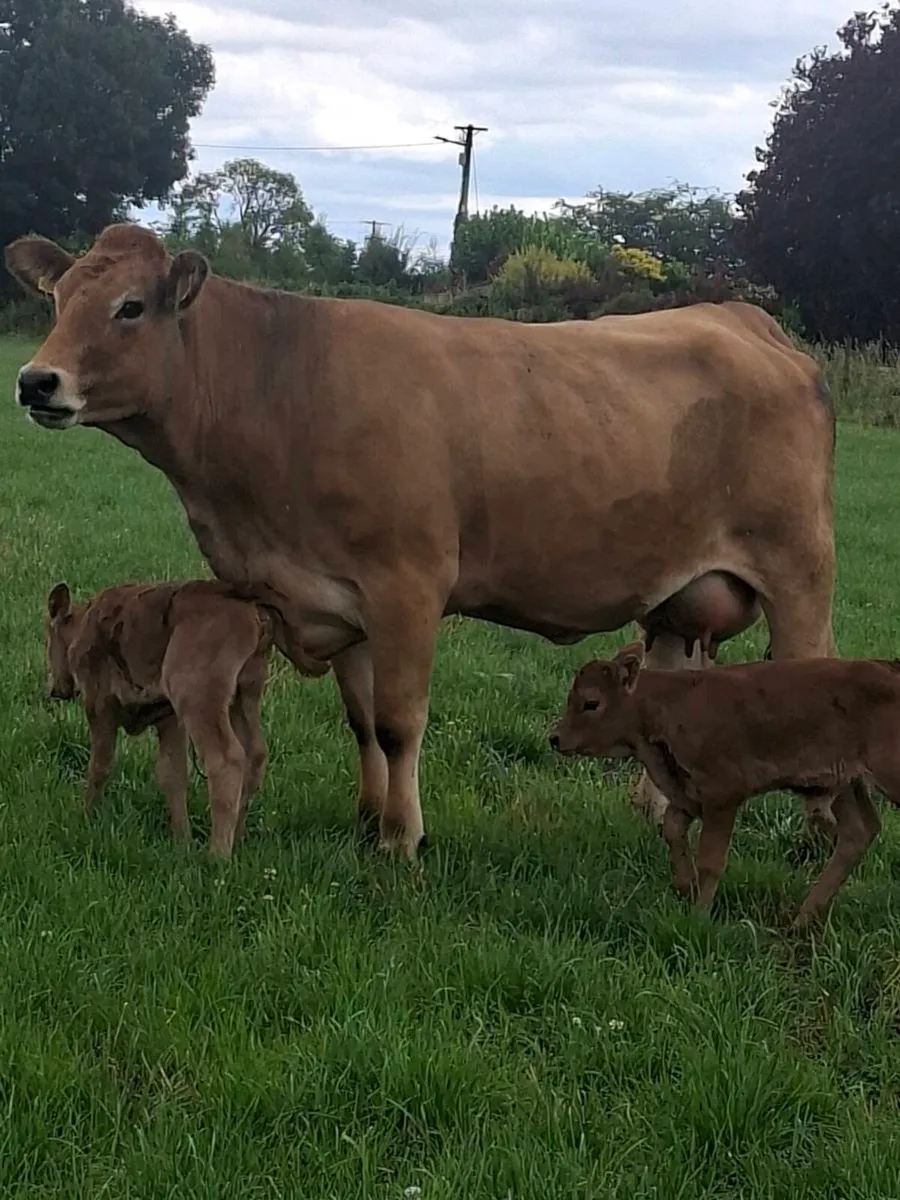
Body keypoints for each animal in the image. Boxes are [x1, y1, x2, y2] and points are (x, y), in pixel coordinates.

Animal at [45, 577, 284, 857]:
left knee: (226, 759)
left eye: (48, 640)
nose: (55, 689)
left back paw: (218, 855)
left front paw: (86, 816)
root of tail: (254, 613)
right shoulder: (169, 718)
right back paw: (238, 838)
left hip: (195, 695)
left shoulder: (98, 703)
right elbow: (173, 773)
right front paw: (182, 840)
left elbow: (100, 765)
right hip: (245, 694)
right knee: (254, 754)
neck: (84, 624)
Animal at [550, 642, 897, 926]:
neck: (664, 706)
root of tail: (890, 667)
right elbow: (672, 829)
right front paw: (686, 887)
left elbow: (711, 861)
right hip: (845, 785)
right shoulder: (688, 793)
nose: (555, 738)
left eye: (591, 702)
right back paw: (802, 920)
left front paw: (699, 915)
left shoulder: (723, 796)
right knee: (858, 831)